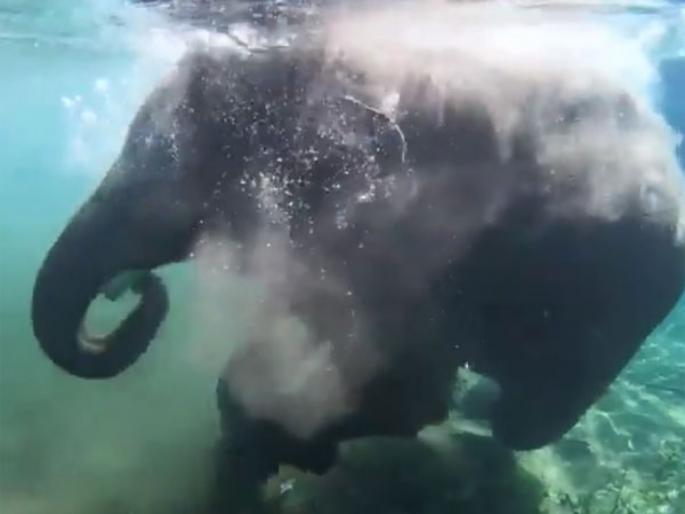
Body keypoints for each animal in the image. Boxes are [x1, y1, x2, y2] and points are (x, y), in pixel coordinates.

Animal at [32, 15, 685, 512]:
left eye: (190, 170)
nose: (133, 288)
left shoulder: (434, 244)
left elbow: (402, 393)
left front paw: (280, 449)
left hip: (622, 304)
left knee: (528, 417)